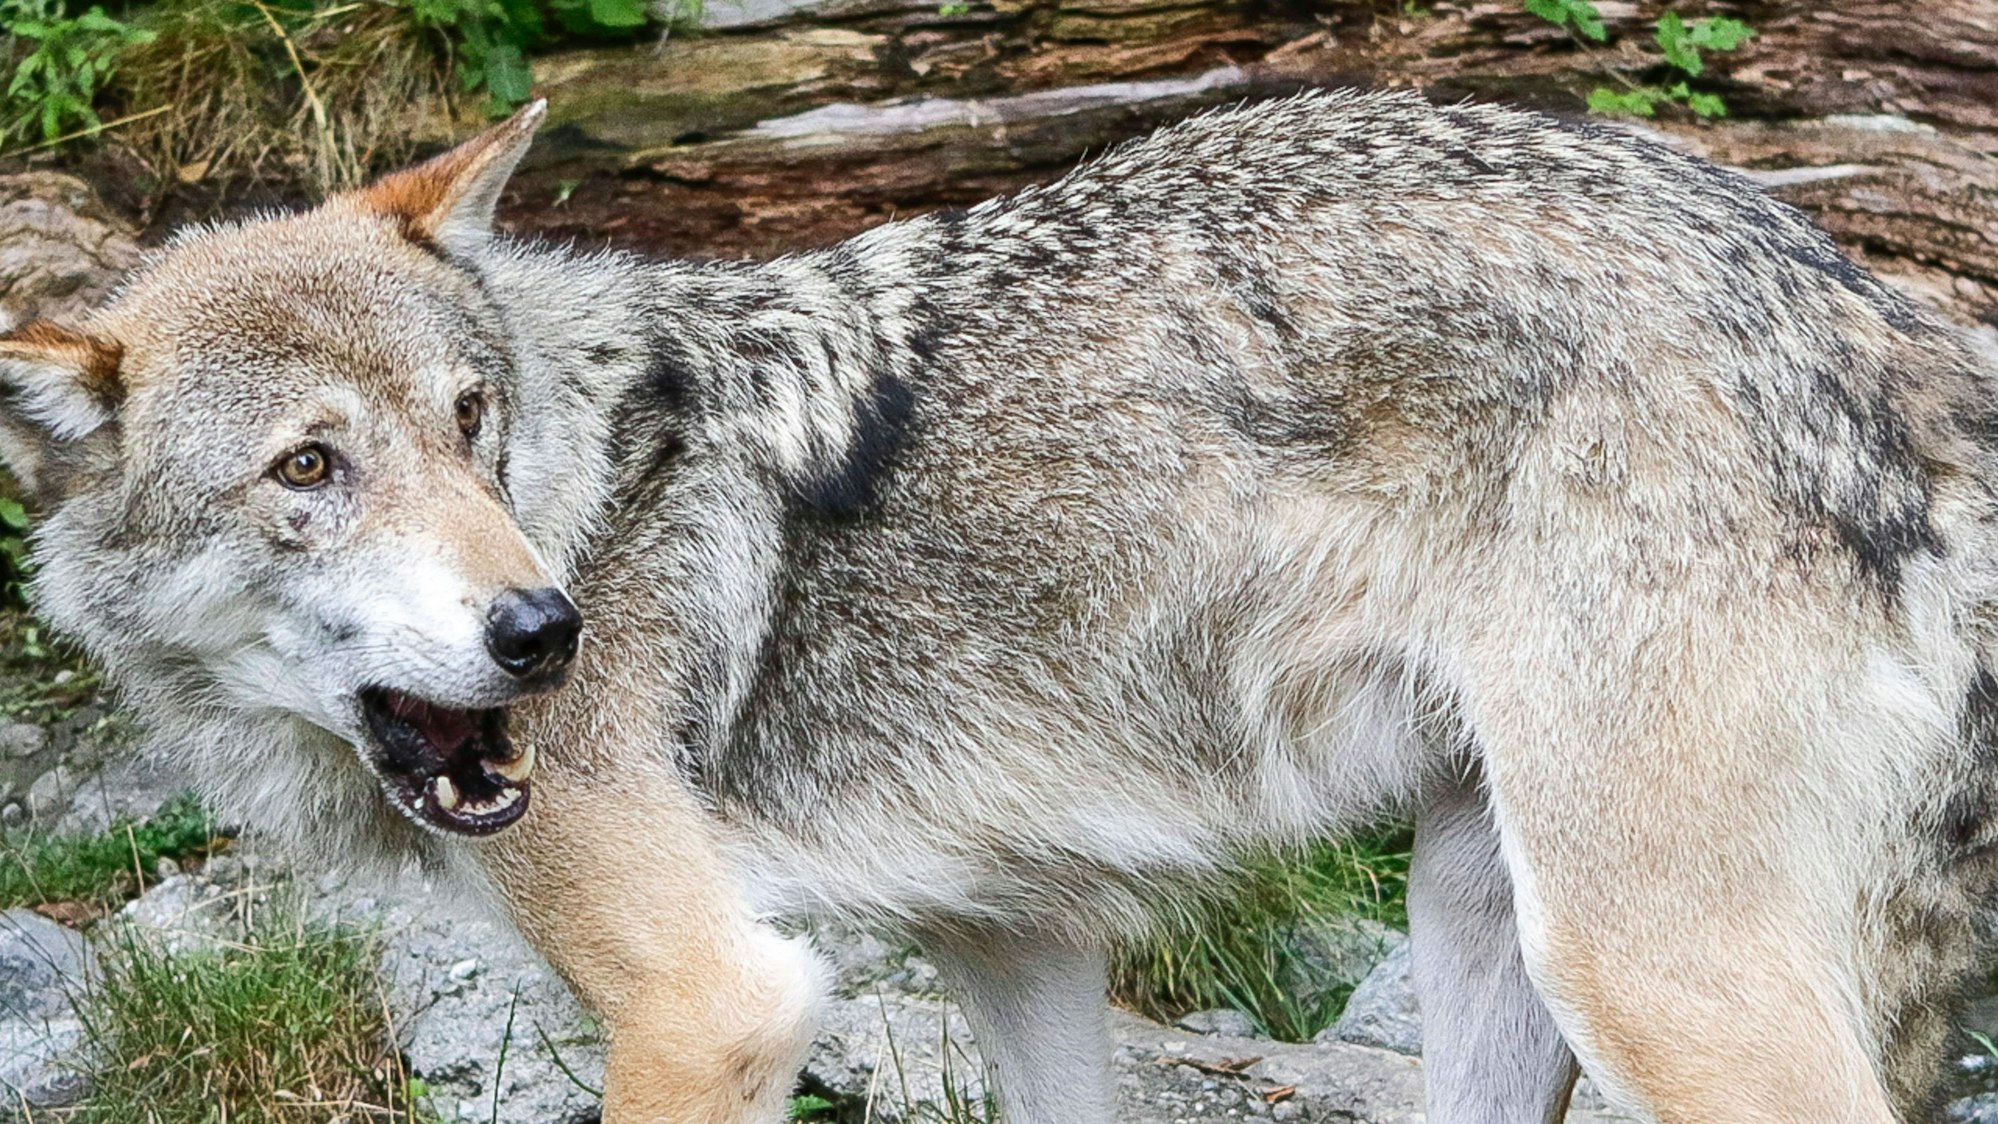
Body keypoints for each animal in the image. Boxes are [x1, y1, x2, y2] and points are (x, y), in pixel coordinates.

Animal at [2, 87, 1996, 1123]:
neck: (593, 486)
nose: (540, 633)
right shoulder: (1015, 936)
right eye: (307, 468)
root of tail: (1871, 313)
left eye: (467, 421)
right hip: (1493, 922)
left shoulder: (718, 997)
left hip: (1641, 971)